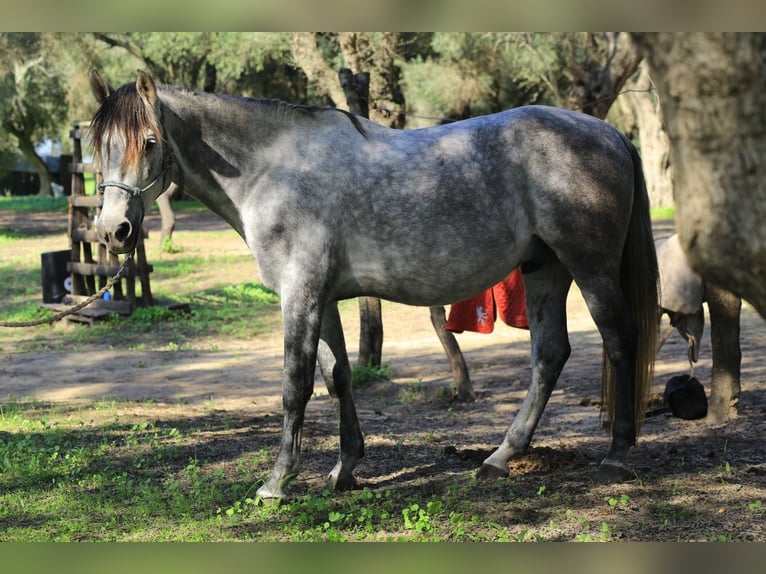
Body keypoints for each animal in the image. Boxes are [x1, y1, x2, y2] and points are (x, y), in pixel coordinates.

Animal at [85, 67, 660, 500]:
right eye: (99, 147)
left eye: (150, 142)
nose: (115, 230)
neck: (274, 168)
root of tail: (611, 134)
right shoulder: (324, 298)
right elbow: (337, 375)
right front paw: (345, 469)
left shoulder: (300, 294)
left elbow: (296, 383)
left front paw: (277, 481)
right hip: (545, 269)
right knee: (549, 354)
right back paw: (499, 457)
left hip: (589, 267)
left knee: (618, 341)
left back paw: (616, 456)